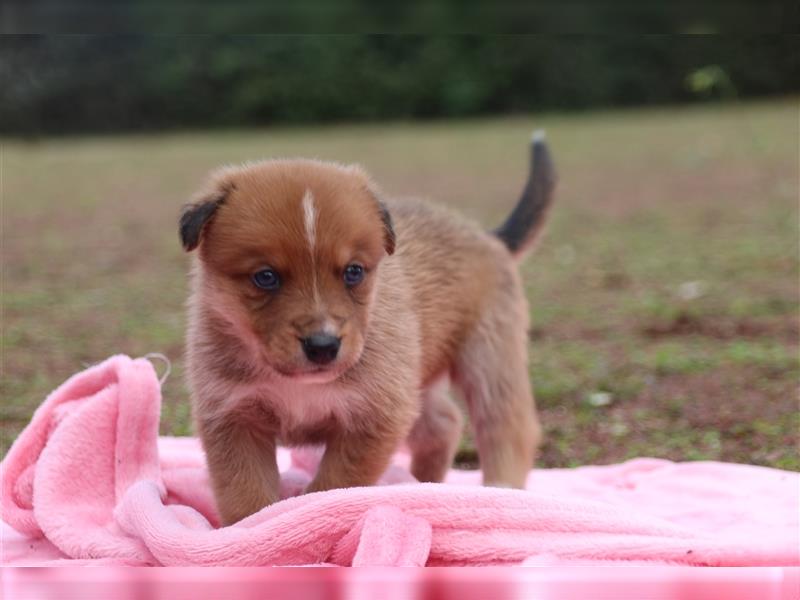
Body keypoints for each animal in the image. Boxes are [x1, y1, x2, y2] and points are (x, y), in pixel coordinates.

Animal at [181, 132, 556, 524]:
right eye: (265, 276)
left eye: (353, 271)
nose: (323, 346)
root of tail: (489, 237)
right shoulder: (234, 416)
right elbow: (245, 492)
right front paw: (253, 528)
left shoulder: (376, 416)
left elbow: (333, 483)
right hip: (417, 382)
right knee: (444, 423)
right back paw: (426, 485)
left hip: (489, 360)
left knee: (507, 428)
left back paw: (502, 489)